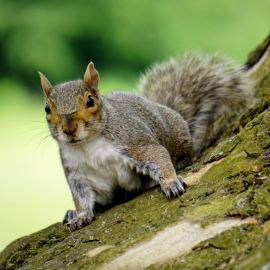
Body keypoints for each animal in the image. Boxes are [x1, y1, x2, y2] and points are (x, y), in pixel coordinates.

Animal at [38, 52, 253, 232]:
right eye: (47, 108)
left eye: (90, 100)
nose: (69, 129)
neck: (87, 144)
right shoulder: (77, 173)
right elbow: (81, 197)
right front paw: (81, 215)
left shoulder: (135, 141)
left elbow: (157, 156)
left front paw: (171, 182)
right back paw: (71, 213)